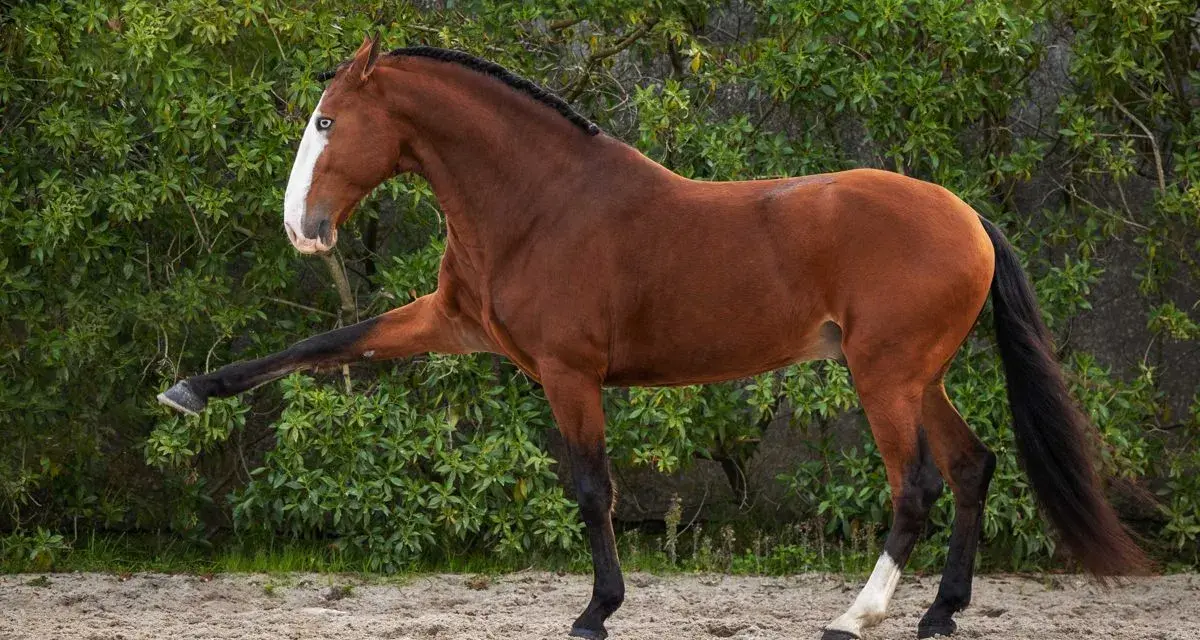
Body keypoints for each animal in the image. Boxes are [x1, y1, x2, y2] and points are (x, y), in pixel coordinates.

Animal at [159, 35, 1148, 640]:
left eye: (327, 121)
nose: (303, 227)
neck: (539, 203)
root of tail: (968, 216)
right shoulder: (450, 323)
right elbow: (326, 344)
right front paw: (191, 392)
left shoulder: (568, 372)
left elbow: (592, 488)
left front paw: (596, 610)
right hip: (915, 376)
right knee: (974, 467)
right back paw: (940, 613)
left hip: (883, 378)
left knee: (919, 487)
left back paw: (854, 615)